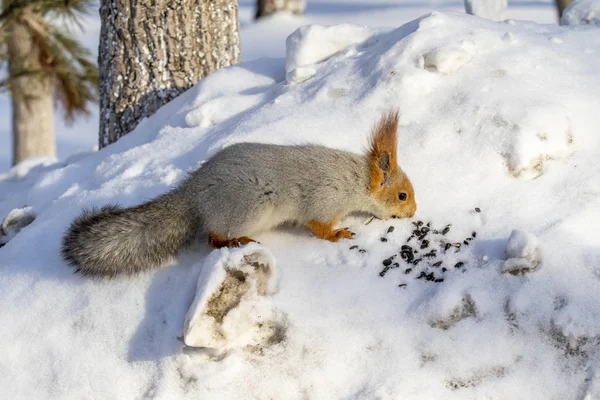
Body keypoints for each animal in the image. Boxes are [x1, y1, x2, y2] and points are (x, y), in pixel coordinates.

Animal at [62, 109, 418, 278]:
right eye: (402, 196)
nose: (413, 213)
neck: (357, 180)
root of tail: (194, 191)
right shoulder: (324, 199)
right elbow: (317, 226)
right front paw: (338, 233)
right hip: (247, 209)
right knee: (212, 237)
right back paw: (236, 241)